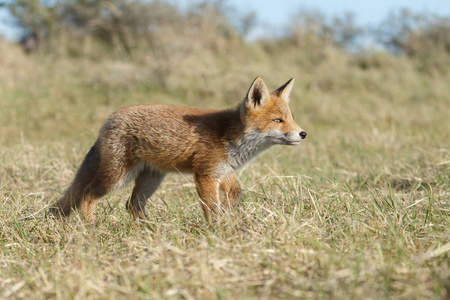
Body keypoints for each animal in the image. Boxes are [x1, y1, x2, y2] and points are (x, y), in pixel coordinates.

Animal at [51, 76, 308, 224]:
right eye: (277, 120)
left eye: (291, 118)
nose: (303, 134)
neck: (230, 136)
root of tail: (110, 119)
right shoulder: (205, 173)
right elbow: (212, 209)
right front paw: (218, 233)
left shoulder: (222, 171)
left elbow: (235, 192)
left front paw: (230, 214)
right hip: (117, 177)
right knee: (87, 197)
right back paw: (92, 229)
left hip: (151, 179)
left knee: (132, 206)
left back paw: (150, 231)